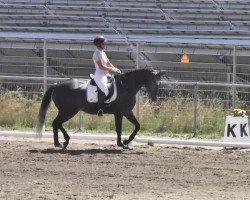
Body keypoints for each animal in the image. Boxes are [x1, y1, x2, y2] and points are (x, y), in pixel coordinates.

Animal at [35, 68, 164, 149]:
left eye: (159, 83)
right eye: (153, 82)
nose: (154, 98)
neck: (126, 87)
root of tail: (56, 86)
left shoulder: (127, 112)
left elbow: (137, 126)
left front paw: (126, 142)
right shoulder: (119, 113)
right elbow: (119, 129)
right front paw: (122, 143)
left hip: (67, 111)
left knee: (57, 124)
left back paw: (63, 142)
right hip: (68, 111)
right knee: (56, 123)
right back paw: (60, 143)